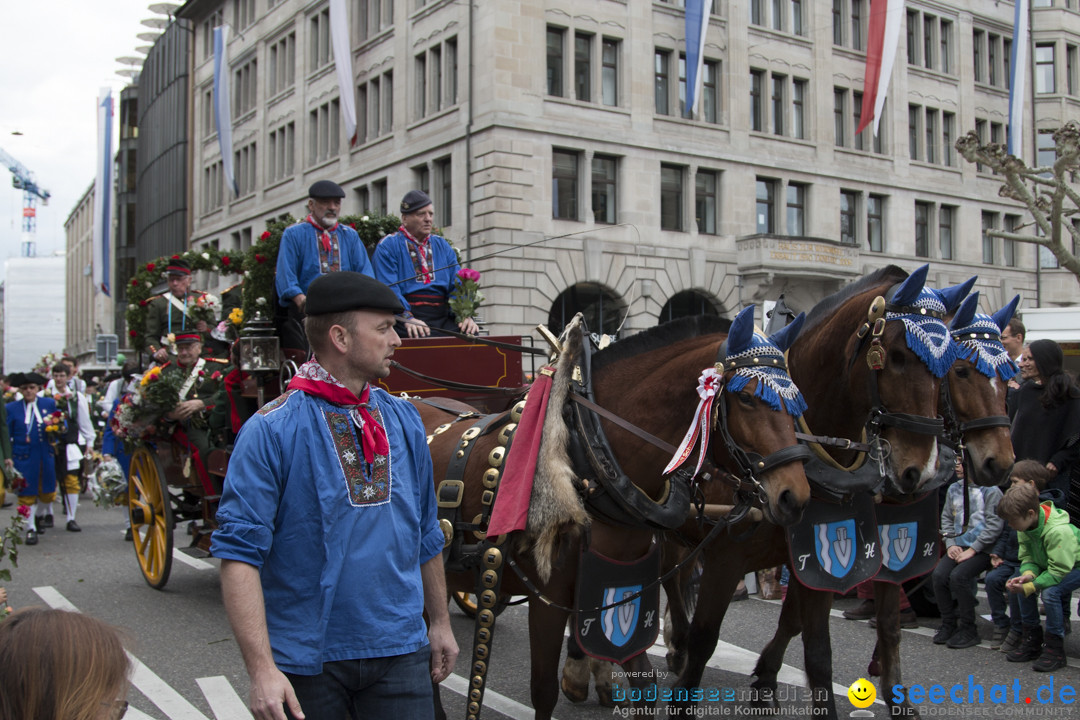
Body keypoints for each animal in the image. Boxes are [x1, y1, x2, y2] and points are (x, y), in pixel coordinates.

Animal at [416, 306, 812, 720]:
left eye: (796, 402)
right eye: (748, 398)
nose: (795, 496)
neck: (589, 458)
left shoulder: (622, 589)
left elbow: (644, 682)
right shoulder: (547, 601)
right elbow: (543, 690)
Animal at [660, 266, 976, 720]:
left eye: (949, 365)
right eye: (897, 356)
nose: (920, 469)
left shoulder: (820, 560)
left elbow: (816, 643)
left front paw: (768, 681)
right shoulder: (725, 557)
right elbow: (709, 635)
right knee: (669, 584)